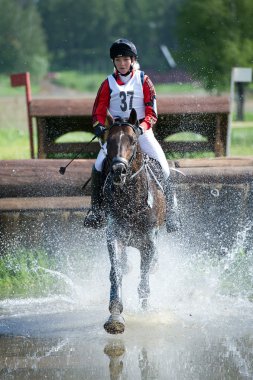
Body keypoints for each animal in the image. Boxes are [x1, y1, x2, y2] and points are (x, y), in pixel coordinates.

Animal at [102, 107, 167, 332]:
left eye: (131, 140)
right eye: (108, 140)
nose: (118, 170)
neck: (131, 201)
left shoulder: (148, 243)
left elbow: (144, 281)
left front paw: (145, 313)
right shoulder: (115, 237)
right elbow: (116, 273)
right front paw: (115, 316)